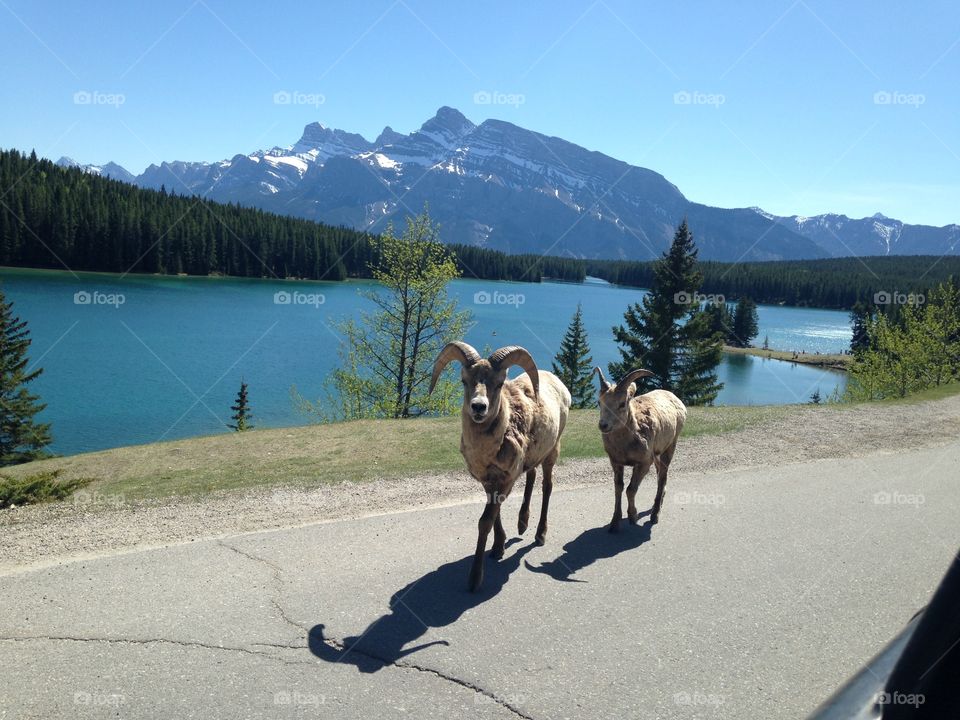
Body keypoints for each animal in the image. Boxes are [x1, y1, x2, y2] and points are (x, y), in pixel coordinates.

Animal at [429, 342, 572, 591]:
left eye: (498, 383)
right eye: (464, 380)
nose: (478, 407)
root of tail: (559, 384)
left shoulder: (505, 479)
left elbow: (485, 521)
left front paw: (475, 579)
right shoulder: (489, 480)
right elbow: (494, 515)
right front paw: (498, 548)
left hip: (552, 451)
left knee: (547, 486)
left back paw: (540, 535)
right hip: (533, 456)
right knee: (532, 475)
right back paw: (522, 524)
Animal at [593, 367, 686, 532]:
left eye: (622, 404)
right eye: (600, 402)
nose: (603, 425)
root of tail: (675, 398)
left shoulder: (643, 464)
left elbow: (631, 489)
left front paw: (633, 517)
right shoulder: (616, 463)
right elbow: (619, 488)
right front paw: (614, 524)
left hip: (670, 447)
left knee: (662, 477)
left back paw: (655, 515)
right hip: (657, 454)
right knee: (660, 475)